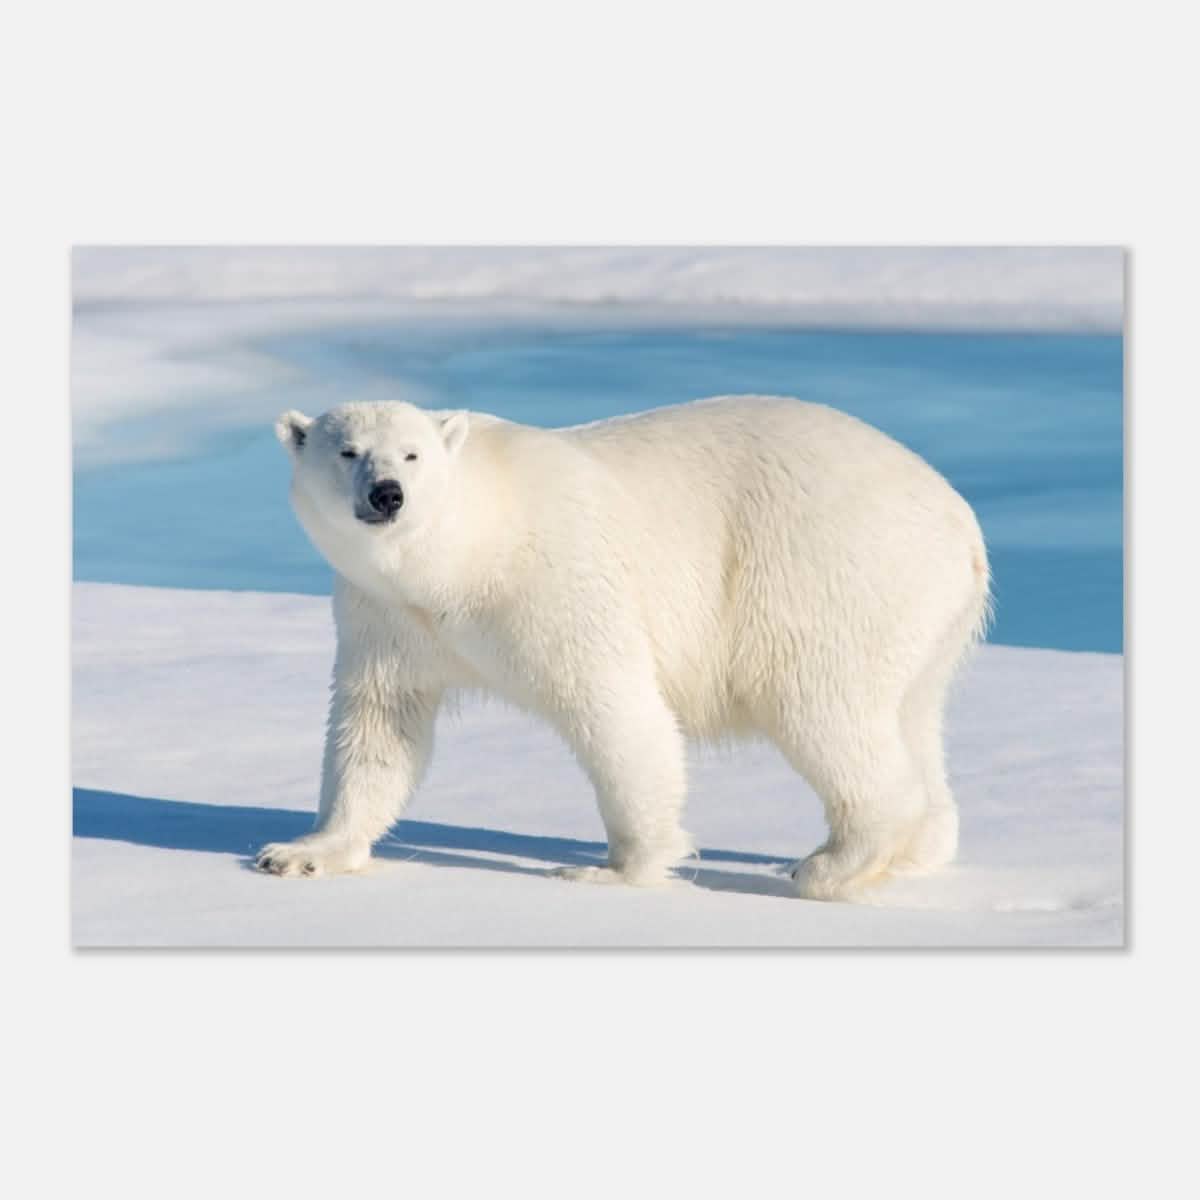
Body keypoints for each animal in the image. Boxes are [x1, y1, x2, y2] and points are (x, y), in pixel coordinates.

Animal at [256, 395, 990, 901]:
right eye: (347, 451)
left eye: (412, 454)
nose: (388, 495)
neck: (464, 554)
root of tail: (961, 520)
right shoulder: (387, 616)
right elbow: (379, 726)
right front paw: (301, 852)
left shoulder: (555, 582)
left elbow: (615, 710)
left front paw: (613, 869)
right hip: (922, 616)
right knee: (911, 715)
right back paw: (918, 850)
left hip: (824, 571)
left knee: (821, 706)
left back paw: (829, 864)